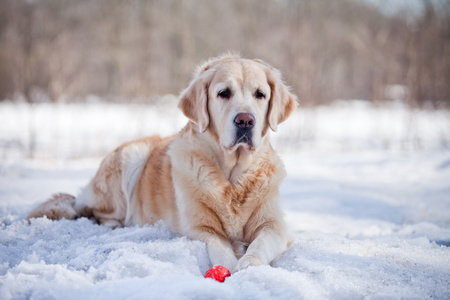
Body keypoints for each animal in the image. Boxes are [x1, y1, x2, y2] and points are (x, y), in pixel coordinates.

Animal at [26, 54, 298, 272]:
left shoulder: (273, 225)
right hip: (130, 159)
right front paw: (230, 265)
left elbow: (261, 243)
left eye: (260, 94)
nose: (245, 121)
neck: (232, 178)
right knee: (97, 212)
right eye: (224, 93)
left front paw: (250, 263)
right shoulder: (198, 228)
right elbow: (219, 247)